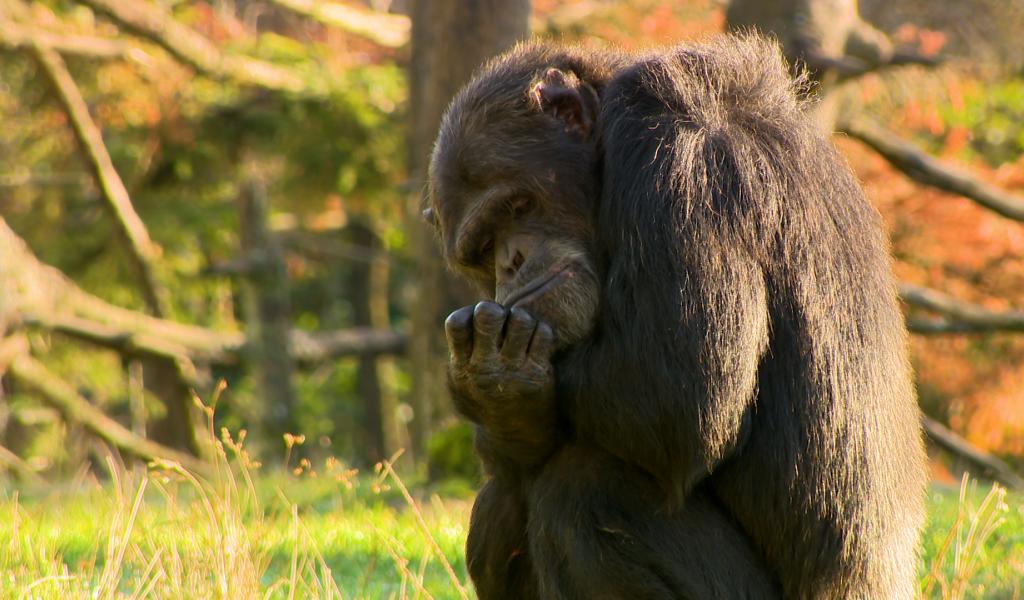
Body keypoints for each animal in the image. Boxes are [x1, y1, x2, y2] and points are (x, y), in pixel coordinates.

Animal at [423, 33, 929, 597]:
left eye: (517, 205)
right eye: (483, 247)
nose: (510, 261)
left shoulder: (672, 150)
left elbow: (678, 391)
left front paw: (503, 390)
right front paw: (501, 400)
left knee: (584, 491)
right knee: (502, 502)